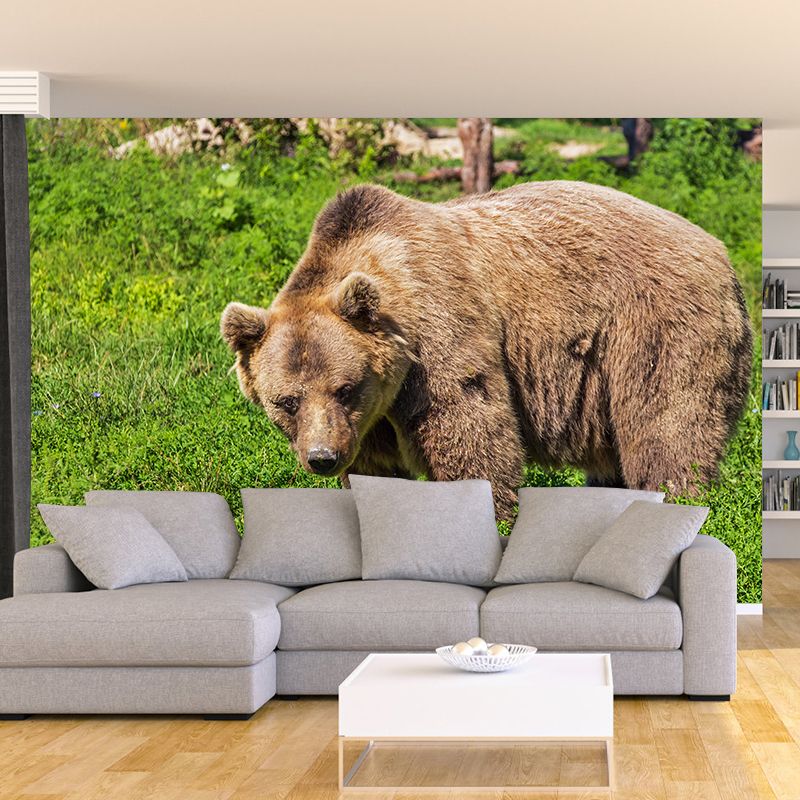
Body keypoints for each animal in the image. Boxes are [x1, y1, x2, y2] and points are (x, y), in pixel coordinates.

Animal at [221, 180, 752, 520]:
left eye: (344, 388)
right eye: (286, 401)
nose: (322, 458)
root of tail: (720, 250)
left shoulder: (439, 334)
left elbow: (470, 427)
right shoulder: (369, 421)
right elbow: (377, 472)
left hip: (655, 328)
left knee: (667, 428)